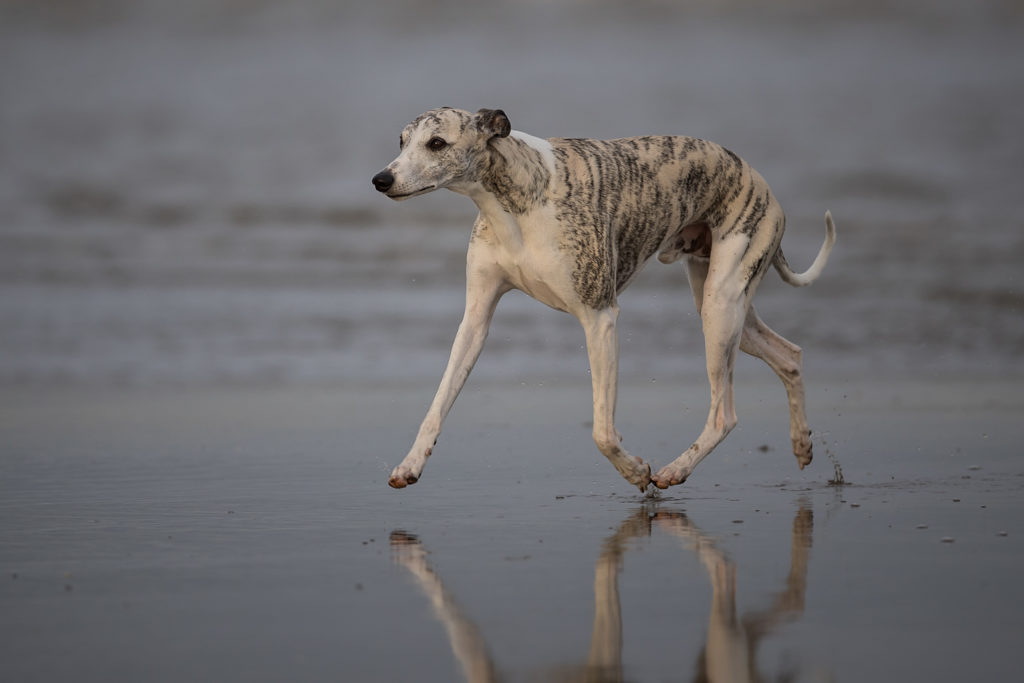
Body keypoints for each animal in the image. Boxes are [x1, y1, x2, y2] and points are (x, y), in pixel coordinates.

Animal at [372, 107, 835, 491]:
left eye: (437, 143)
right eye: (401, 141)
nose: (381, 180)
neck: (518, 201)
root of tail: (757, 179)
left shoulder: (600, 317)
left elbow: (601, 431)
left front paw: (636, 472)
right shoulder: (475, 318)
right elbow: (438, 403)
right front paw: (409, 465)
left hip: (721, 308)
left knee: (725, 414)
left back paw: (674, 470)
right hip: (724, 305)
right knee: (790, 354)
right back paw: (802, 445)